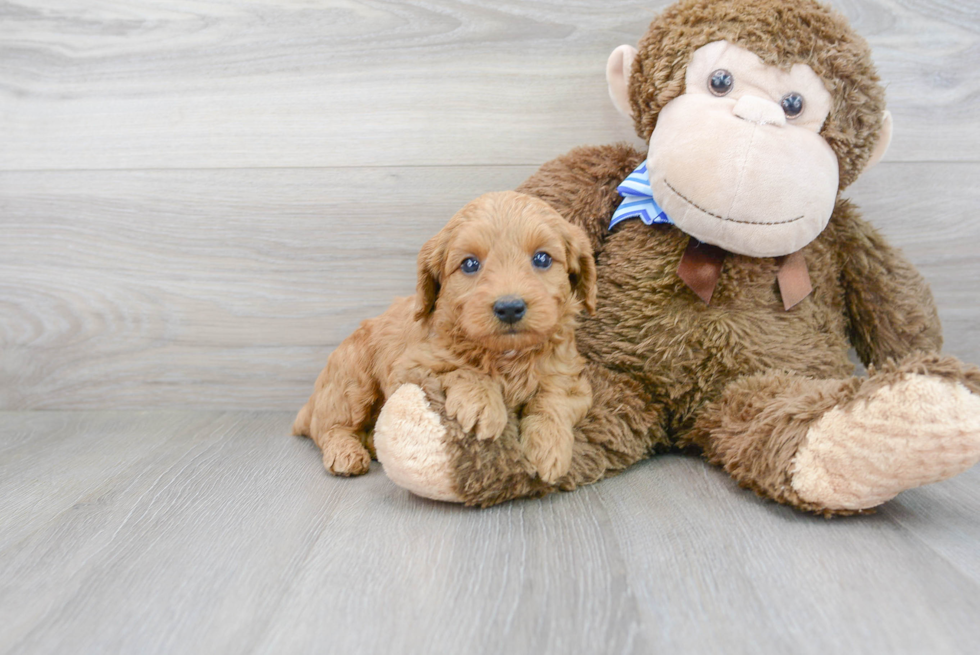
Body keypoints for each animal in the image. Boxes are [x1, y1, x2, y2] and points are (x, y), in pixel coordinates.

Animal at [290, 190, 596, 482]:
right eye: (470, 264)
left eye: (542, 258)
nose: (509, 307)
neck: (505, 354)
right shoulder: (409, 367)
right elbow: (459, 369)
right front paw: (483, 403)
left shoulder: (571, 379)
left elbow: (553, 400)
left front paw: (549, 446)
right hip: (352, 381)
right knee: (329, 427)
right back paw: (345, 452)